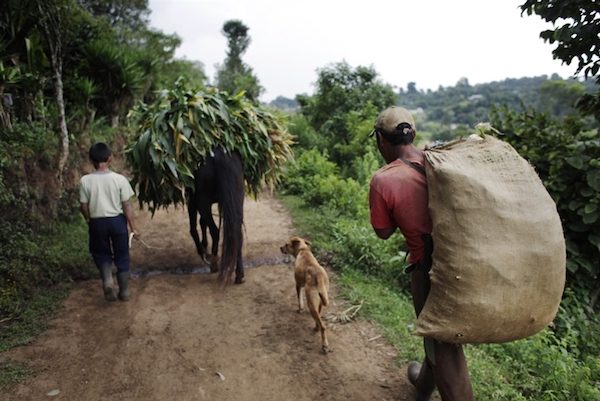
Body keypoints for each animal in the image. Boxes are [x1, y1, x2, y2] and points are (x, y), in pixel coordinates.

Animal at [188, 148, 244, 284]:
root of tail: (220, 154)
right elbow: (202, 222)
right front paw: (204, 244)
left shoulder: (193, 200)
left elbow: (194, 228)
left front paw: (202, 250)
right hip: (238, 197)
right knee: (237, 233)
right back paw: (239, 274)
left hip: (202, 201)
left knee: (215, 231)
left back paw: (213, 263)